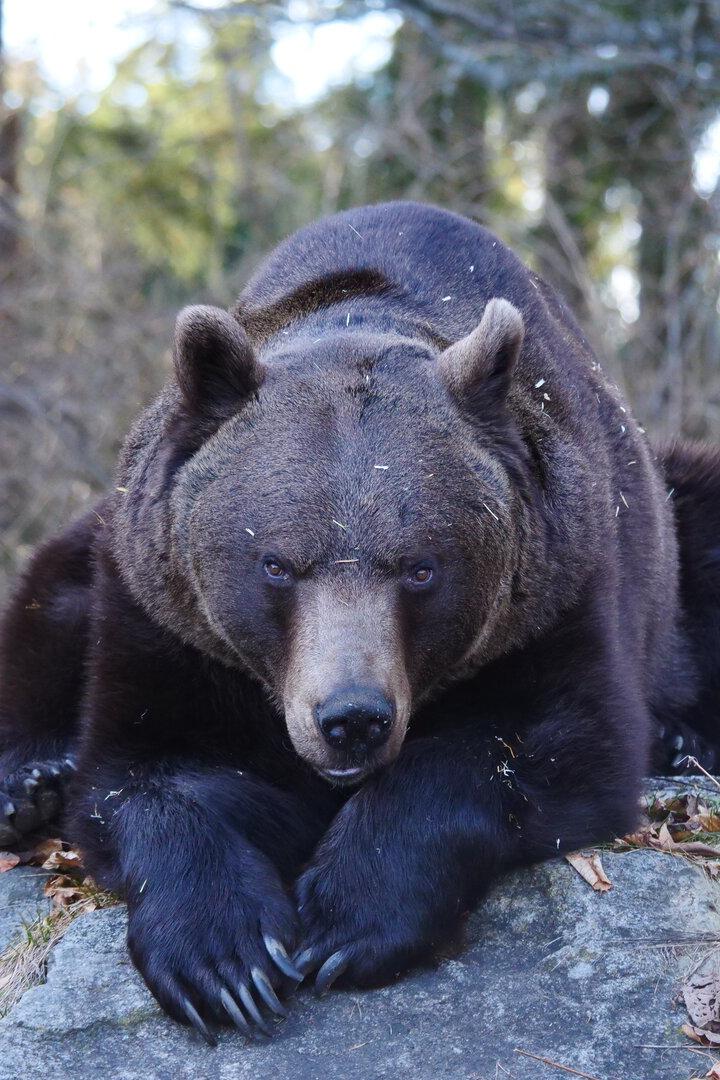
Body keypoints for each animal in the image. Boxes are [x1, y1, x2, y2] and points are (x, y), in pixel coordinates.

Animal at [1, 200, 719, 1043]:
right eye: (277, 564)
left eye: (421, 567)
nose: (351, 719)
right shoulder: (168, 623)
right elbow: (149, 772)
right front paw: (227, 962)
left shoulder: (562, 588)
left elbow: (546, 743)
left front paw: (348, 919)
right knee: (53, 598)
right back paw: (29, 784)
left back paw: (685, 739)